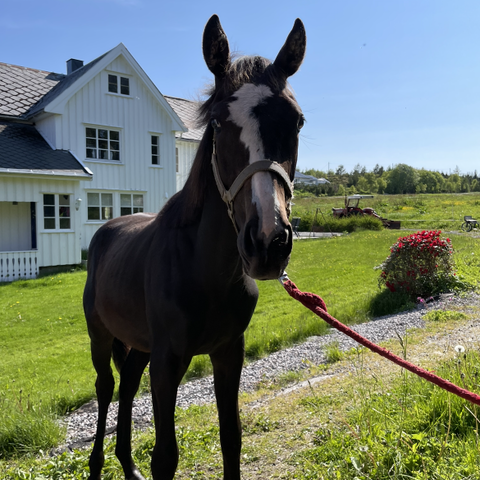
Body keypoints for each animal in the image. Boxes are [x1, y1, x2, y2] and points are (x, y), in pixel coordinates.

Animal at [84, 15, 306, 480]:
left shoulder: (228, 353)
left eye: (296, 121)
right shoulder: (168, 361)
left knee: (127, 385)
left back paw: (127, 465)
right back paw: (98, 464)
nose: (268, 242)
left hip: (140, 346)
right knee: (106, 388)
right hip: (100, 336)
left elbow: (231, 438)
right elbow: (165, 457)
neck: (205, 270)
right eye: (218, 122)